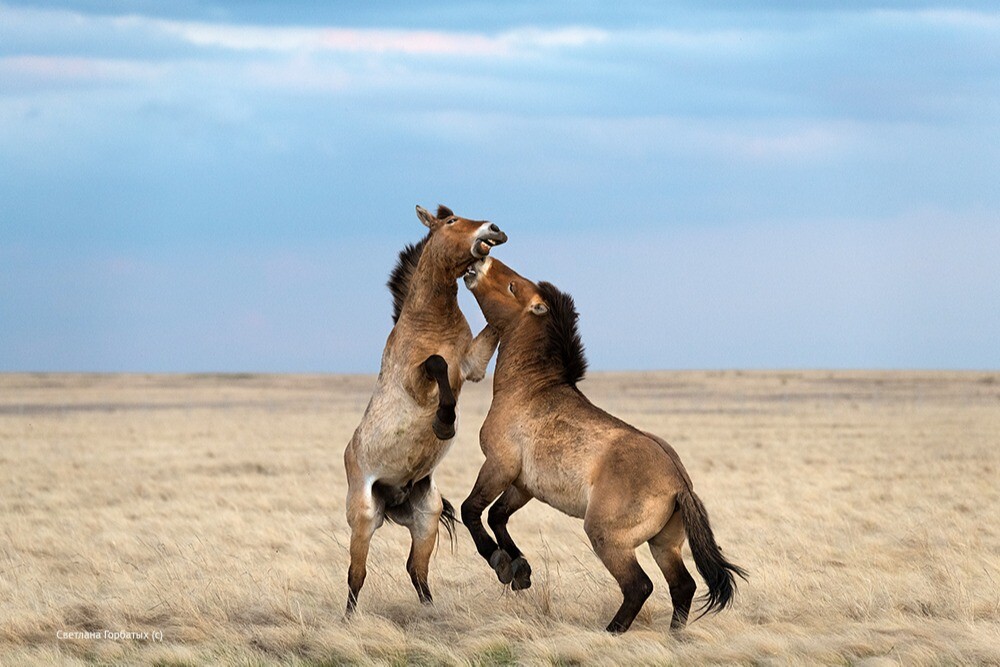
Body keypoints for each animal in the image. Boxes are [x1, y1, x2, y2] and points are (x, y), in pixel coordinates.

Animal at [344, 205, 508, 616]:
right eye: (451, 222)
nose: (494, 229)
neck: (430, 320)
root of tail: (393, 499)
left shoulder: (472, 365)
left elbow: (494, 326)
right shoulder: (418, 380)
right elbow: (436, 364)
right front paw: (445, 424)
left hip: (426, 519)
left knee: (416, 570)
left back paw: (434, 610)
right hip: (364, 518)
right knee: (357, 574)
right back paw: (348, 619)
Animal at [458, 258, 744, 636]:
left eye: (512, 287)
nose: (478, 263)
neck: (529, 390)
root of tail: (680, 485)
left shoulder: (498, 466)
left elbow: (471, 510)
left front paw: (502, 564)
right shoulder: (523, 485)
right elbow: (498, 516)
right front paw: (520, 571)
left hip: (608, 540)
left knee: (640, 586)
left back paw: (611, 631)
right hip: (663, 544)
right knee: (682, 585)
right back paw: (673, 635)